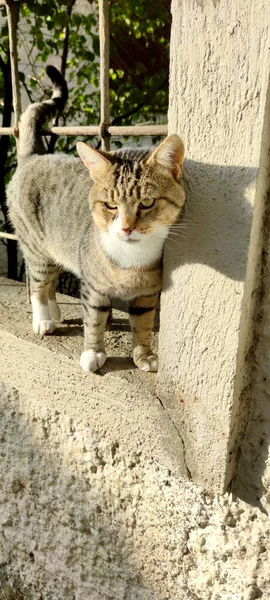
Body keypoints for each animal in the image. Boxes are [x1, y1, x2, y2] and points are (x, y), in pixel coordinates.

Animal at [7, 68, 186, 372]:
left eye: (147, 203)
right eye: (110, 205)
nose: (126, 228)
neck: (132, 258)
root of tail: (34, 156)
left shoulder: (148, 293)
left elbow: (143, 323)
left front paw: (144, 354)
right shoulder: (92, 287)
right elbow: (93, 319)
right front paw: (93, 353)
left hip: (57, 248)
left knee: (51, 279)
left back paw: (55, 311)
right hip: (36, 246)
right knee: (38, 282)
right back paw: (43, 318)